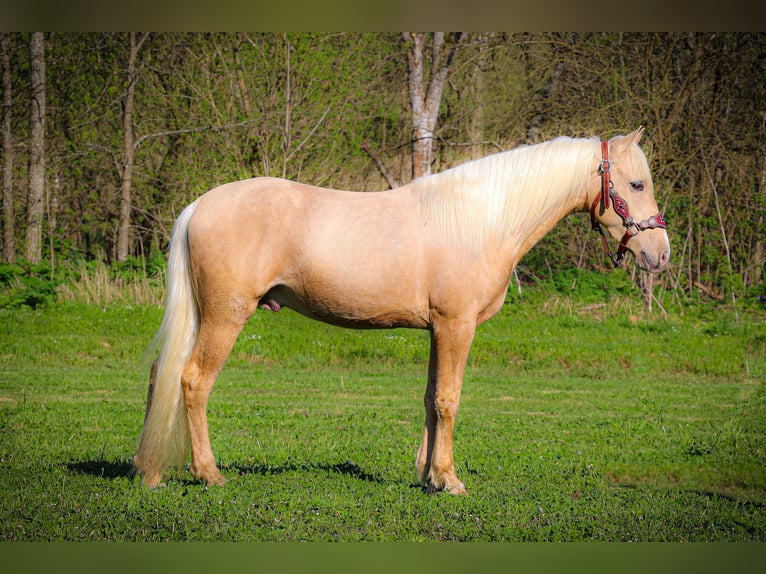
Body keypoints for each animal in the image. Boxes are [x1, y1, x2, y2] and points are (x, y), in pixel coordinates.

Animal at [134, 129, 672, 496]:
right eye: (636, 183)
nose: (659, 254)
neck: (481, 220)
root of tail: (199, 205)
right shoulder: (456, 326)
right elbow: (450, 399)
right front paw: (449, 480)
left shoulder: (438, 328)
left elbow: (432, 398)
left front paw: (428, 475)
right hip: (226, 315)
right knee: (193, 380)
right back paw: (209, 473)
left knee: (161, 375)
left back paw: (149, 468)